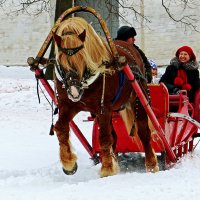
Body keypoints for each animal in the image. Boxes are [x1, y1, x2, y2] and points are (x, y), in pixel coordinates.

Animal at [52, 16, 159, 177]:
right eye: (61, 61)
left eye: (83, 59)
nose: (74, 91)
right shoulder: (68, 104)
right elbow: (60, 127)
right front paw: (69, 163)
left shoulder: (103, 108)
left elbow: (103, 137)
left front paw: (107, 169)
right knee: (114, 136)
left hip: (138, 98)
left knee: (143, 132)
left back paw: (151, 165)